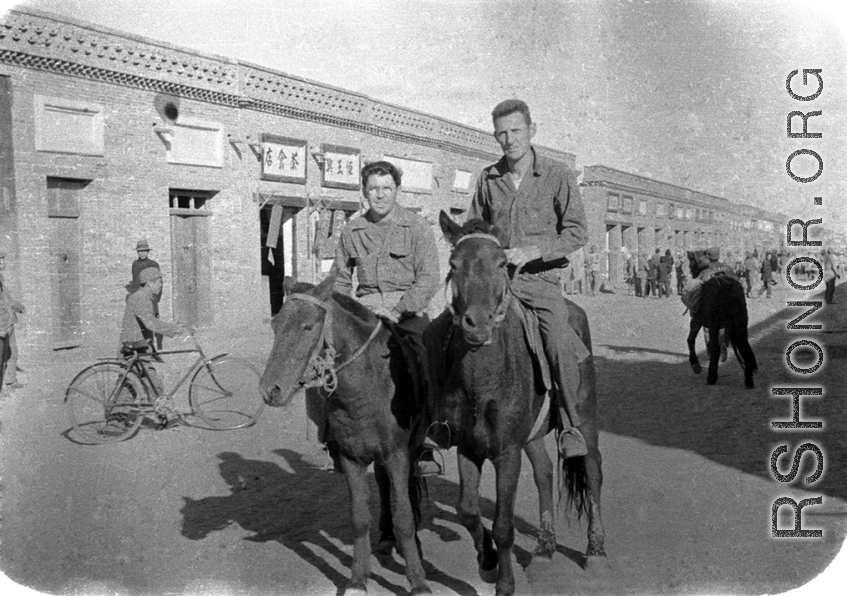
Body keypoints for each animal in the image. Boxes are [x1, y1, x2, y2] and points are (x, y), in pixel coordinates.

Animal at [260, 276, 434, 596]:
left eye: (308, 326)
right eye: (276, 324)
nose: (270, 390)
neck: (367, 388)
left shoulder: (398, 454)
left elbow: (404, 516)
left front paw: (418, 582)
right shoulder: (351, 457)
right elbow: (358, 518)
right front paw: (357, 580)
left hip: (413, 447)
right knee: (383, 484)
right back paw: (386, 539)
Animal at [430, 214, 608, 596]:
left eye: (501, 264)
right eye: (453, 264)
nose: (477, 324)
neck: (483, 381)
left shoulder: (506, 453)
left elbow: (503, 525)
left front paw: (504, 583)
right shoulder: (468, 447)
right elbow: (467, 510)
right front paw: (486, 562)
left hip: (585, 419)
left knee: (592, 470)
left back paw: (596, 551)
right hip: (532, 435)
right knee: (544, 472)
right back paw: (544, 549)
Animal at [684, 249, 760, 388]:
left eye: (692, 262)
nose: (690, 271)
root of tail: (727, 288)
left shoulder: (697, 320)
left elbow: (691, 340)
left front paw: (695, 364)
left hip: (714, 324)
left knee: (715, 347)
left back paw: (712, 376)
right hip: (740, 324)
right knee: (744, 346)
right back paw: (748, 380)